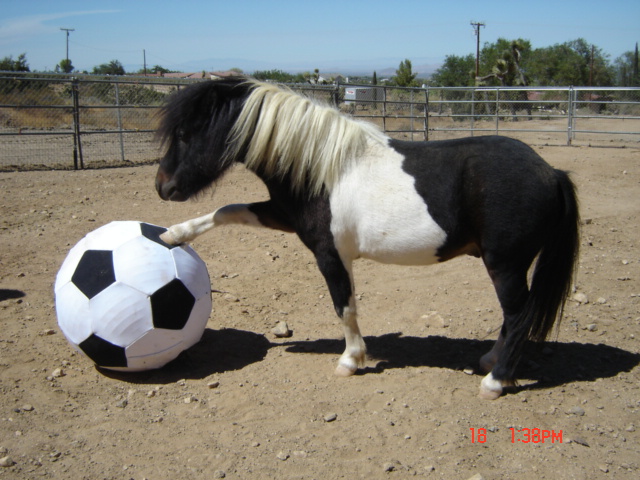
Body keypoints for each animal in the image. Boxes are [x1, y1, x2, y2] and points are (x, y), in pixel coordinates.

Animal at [155, 77, 580, 399]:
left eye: (185, 133)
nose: (163, 187)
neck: (322, 167)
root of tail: (550, 172)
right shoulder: (282, 215)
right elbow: (228, 210)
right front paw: (173, 235)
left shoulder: (329, 254)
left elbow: (344, 307)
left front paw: (350, 360)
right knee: (513, 317)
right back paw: (490, 362)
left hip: (505, 264)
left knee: (518, 315)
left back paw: (495, 381)